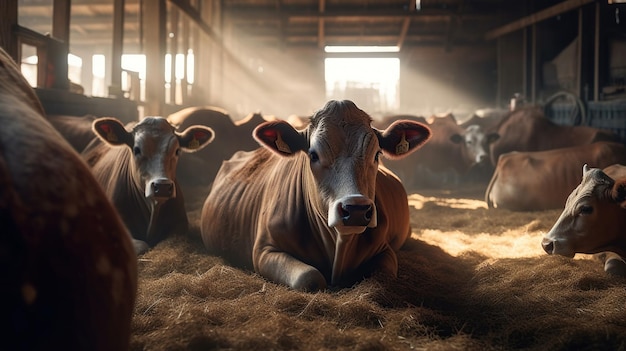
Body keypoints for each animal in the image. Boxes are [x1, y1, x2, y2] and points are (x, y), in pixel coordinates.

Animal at [200, 99, 428, 292]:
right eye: (313, 155)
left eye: (377, 154)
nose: (355, 209)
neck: (339, 246)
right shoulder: (264, 250)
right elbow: (309, 277)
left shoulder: (385, 250)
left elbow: (380, 278)